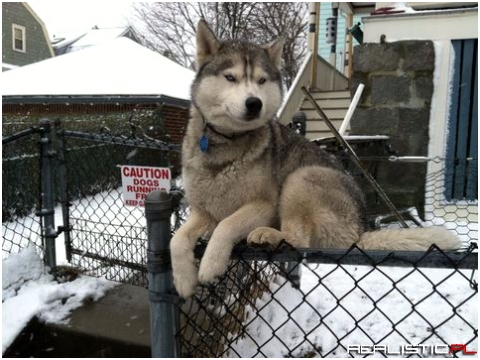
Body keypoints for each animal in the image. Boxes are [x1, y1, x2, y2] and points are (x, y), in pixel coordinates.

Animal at [171, 21, 460, 300]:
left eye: (262, 80)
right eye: (230, 77)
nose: (254, 103)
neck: (224, 143)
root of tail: (359, 231)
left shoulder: (264, 205)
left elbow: (227, 225)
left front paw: (210, 265)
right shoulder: (202, 211)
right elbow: (177, 239)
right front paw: (183, 281)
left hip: (302, 177)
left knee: (299, 240)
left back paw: (269, 235)